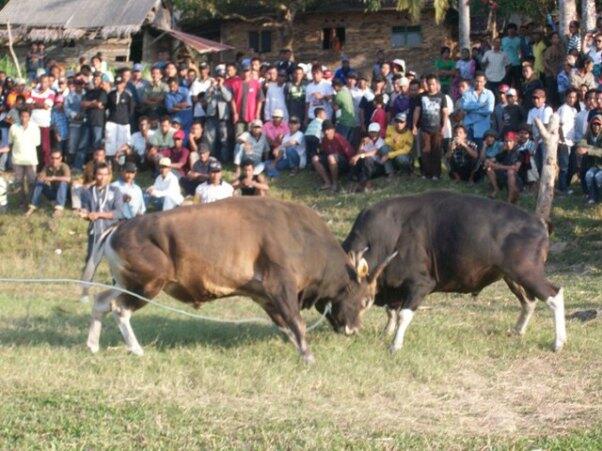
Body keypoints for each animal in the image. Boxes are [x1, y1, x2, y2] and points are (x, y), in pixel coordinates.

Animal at [83, 198, 394, 364]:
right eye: (365, 300)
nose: (354, 329)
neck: (303, 237)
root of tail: (119, 227)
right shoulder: (281, 287)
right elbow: (297, 323)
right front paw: (307, 355)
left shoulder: (264, 295)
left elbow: (285, 324)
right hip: (147, 285)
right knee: (119, 309)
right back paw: (135, 349)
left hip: (127, 283)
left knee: (100, 302)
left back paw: (93, 345)